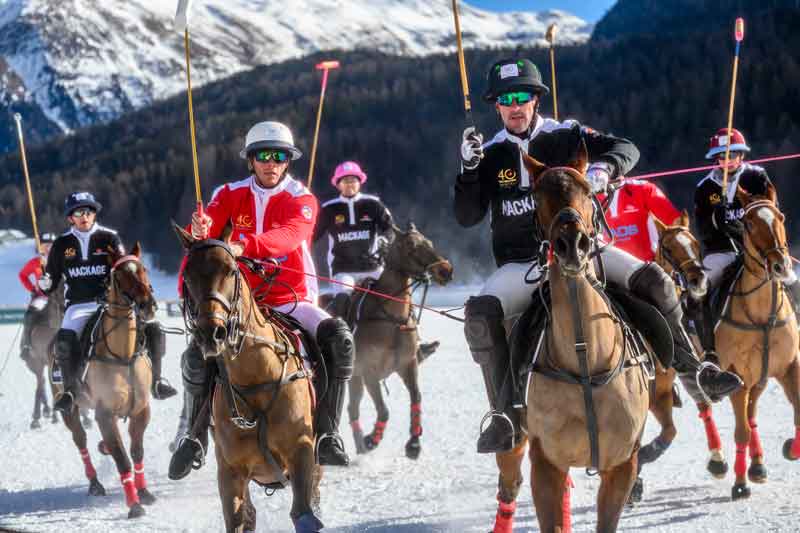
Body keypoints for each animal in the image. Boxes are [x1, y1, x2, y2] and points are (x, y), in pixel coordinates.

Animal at [52, 243, 158, 516]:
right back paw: (95, 483)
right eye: (119, 275)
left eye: (143, 268)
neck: (123, 355)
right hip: (69, 406)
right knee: (80, 440)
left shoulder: (141, 409)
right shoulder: (105, 413)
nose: (148, 305)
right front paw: (134, 505)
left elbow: (136, 451)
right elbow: (122, 458)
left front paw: (144, 492)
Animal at [176, 223, 324, 532]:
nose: (212, 333)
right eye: (187, 275)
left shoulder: (302, 453)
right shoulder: (230, 470)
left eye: (231, 270)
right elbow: (238, 520)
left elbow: (304, 514)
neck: (255, 378)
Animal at [344, 222, 454, 460]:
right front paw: (372, 439)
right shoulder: (369, 370)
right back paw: (360, 444)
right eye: (410, 245)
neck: (392, 319)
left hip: (355, 377)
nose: (445, 270)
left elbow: (416, 398)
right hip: (354, 375)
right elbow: (384, 410)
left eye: (429, 242)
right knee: (351, 408)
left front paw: (413, 443)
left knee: (351, 408)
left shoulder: (408, 364)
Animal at [524, 147, 648, 532]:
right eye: (536, 196)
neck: (584, 356)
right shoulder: (545, 462)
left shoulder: (621, 463)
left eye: (588, 190)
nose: (571, 245)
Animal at [712, 186, 800, 498]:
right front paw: (740, 484)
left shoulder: (790, 367)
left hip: (758, 378)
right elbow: (740, 431)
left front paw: (790, 449)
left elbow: (798, 413)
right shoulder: (735, 376)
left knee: (751, 413)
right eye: (749, 224)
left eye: (780, 217)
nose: (781, 266)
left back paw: (758, 464)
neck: (762, 316)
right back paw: (718, 462)